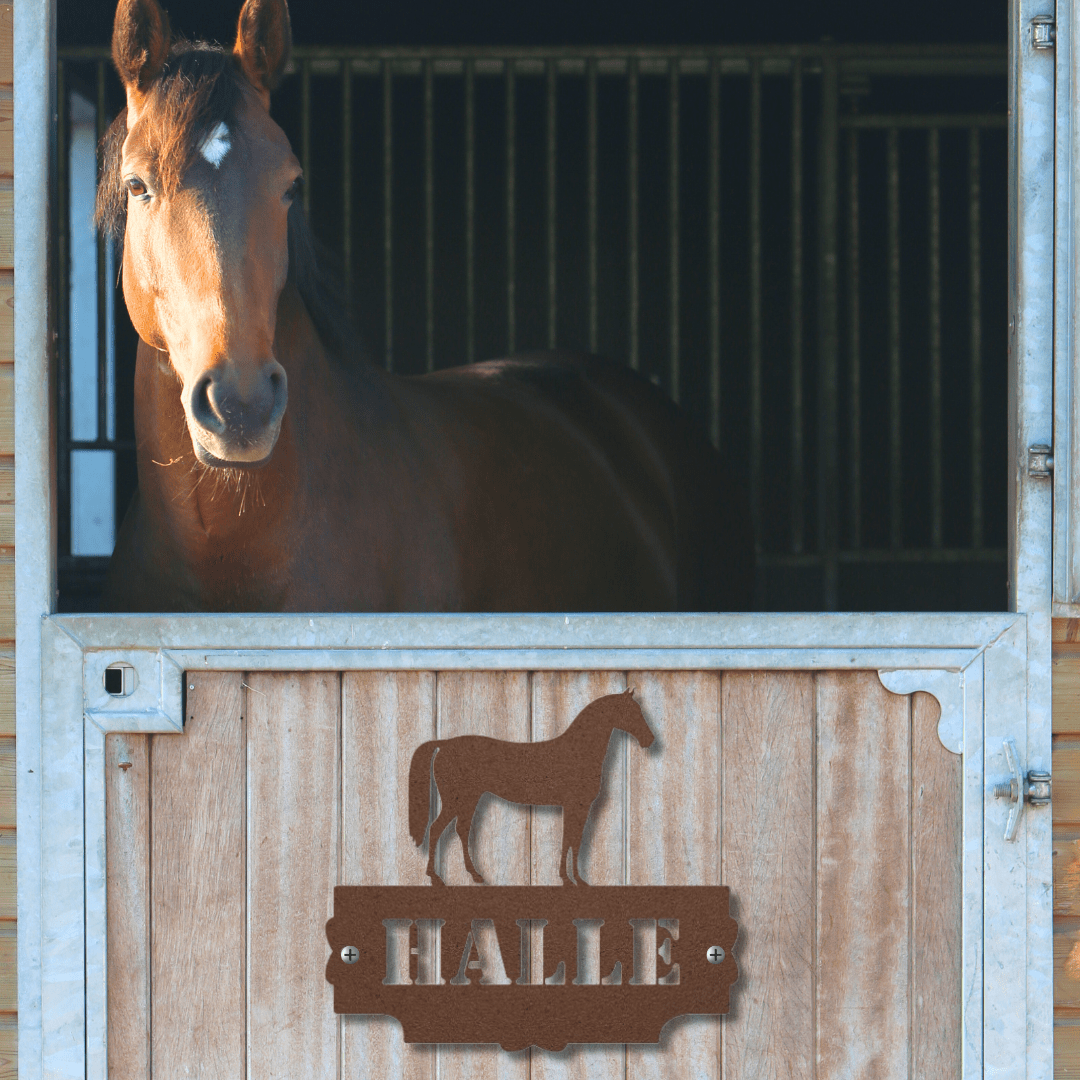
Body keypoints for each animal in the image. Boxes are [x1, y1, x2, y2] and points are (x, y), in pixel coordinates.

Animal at [408, 691, 652, 885]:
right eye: (630, 711)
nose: (649, 740)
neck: (577, 752)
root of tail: (444, 744)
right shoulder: (574, 806)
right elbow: (570, 839)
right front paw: (568, 879)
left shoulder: (579, 808)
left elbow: (574, 840)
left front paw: (576, 879)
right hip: (455, 800)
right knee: (436, 829)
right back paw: (435, 877)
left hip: (469, 798)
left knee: (461, 830)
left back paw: (475, 875)